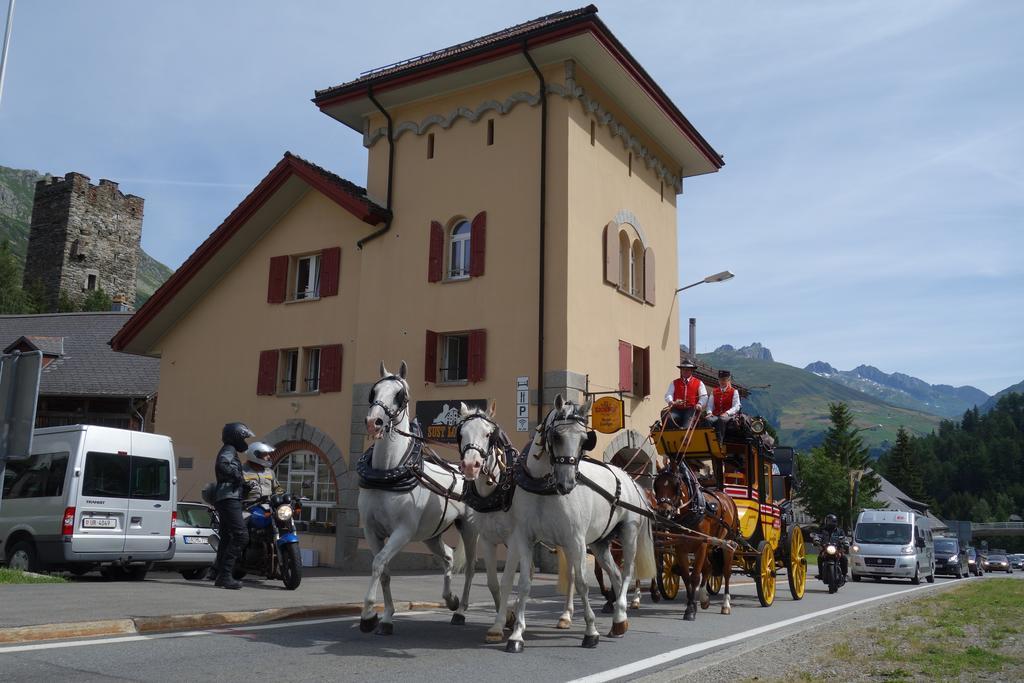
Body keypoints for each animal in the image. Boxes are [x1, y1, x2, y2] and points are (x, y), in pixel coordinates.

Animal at [358, 362, 477, 634]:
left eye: (400, 395)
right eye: (373, 391)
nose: (373, 422)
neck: (388, 472)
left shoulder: (403, 531)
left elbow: (378, 563)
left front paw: (368, 613)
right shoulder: (371, 530)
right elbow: (384, 571)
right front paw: (386, 617)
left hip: (469, 529)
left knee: (470, 569)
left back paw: (461, 610)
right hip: (431, 534)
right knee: (448, 557)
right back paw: (450, 599)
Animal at [456, 403, 577, 634]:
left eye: (488, 434)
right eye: (461, 433)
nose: (470, 465)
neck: (497, 489)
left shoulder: (513, 539)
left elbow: (507, 580)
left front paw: (501, 622)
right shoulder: (488, 539)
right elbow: (493, 582)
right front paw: (507, 617)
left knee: (572, 573)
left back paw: (566, 615)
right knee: (530, 572)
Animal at [487, 397, 655, 655]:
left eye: (585, 440)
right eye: (556, 436)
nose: (567, 483)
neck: (544, 488)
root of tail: (627, 477)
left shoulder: (575, 540)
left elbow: (583, 584)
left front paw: (591, 632)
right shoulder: (524, 539)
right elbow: (524, 584)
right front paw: (516, 635)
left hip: (628, 534)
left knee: (627, 573)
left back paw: (620, 614)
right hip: (600, 544)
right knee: (615, 575)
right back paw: (620, 619)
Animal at [655, 462, 737, 622]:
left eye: (676, 485)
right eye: (656, 485)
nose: (664, 512)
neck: (693, 509)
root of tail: (727, 497)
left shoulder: (701, 545)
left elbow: (694, 577)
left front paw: (691, 610)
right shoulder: (680, 547)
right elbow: (687, 577)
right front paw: (691, 604)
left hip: (727, 544)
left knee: (726, 572)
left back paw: (725, 604)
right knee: (708, 567)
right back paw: (704, 599)